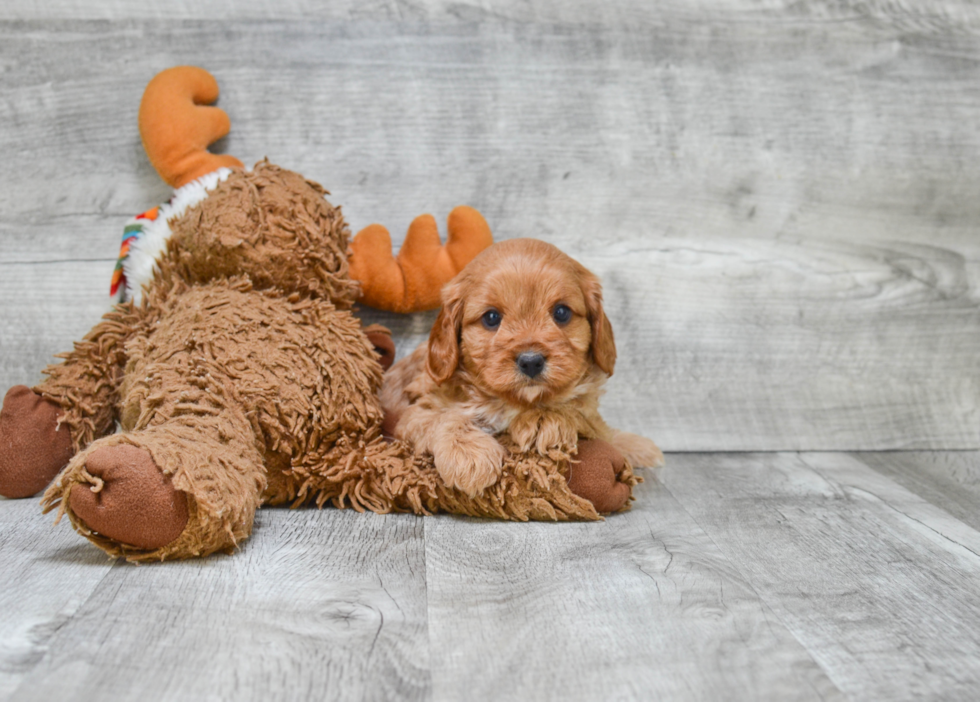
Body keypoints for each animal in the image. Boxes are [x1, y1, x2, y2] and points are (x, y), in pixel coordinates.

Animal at [378, 239, 664, 498]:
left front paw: (545, 418)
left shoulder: (587, 407)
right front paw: (469, 457)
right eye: (491, 317)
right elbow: (443, 418)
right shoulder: (414, 414)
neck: (512, 402)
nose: (531, 361)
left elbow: (589, 418)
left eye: (561, 312)